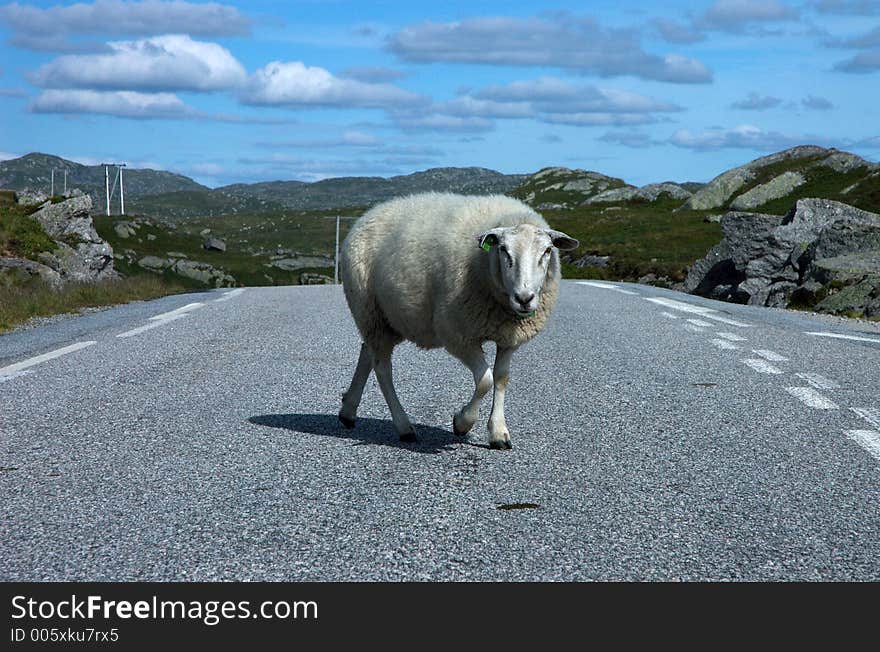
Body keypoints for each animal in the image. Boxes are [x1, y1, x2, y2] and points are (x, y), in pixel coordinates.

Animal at [336, 191, 576, 450]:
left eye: (547, 251)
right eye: (503, 250)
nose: (524, 298)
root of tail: (366, 216)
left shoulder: (508, 337)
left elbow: (501, 379)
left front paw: (498, 432)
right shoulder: (457, 335)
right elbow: (485, 380)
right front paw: (462, 423)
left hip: (383, 318)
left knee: (367, 352)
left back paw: (348, 411)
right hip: (369, 310)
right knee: (382, 369)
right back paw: (404, 427)